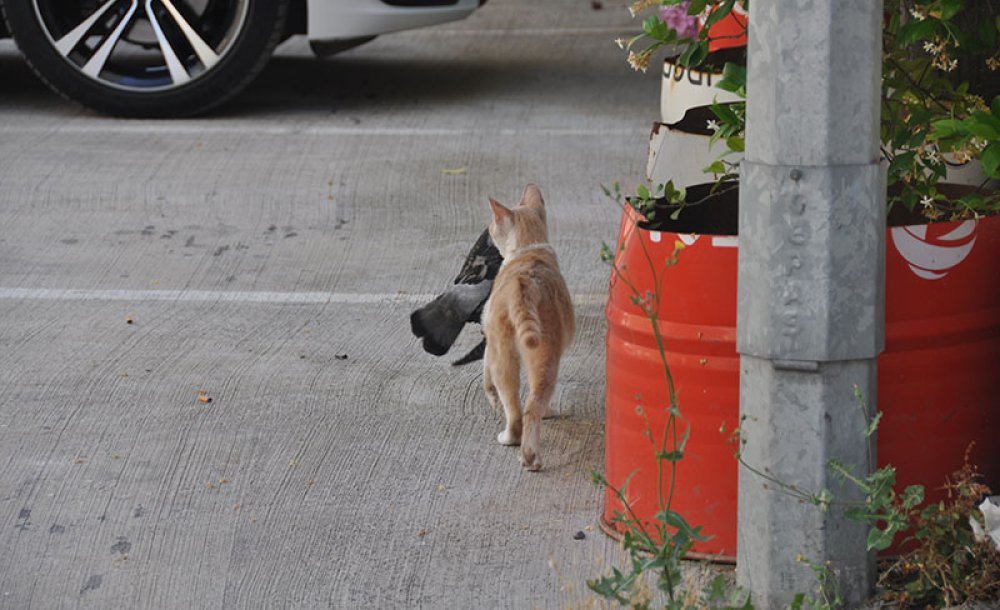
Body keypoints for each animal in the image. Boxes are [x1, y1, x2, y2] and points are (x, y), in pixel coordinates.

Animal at [480, 183, 576, 468]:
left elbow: (485, 374)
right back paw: (531, 451)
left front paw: (490, 396)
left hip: (509, 356)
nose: (488, 233)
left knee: (518, 408)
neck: (528, 248)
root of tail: (523, 285)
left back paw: (515, 442)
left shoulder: (488, 338)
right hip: (542, 357)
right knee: (532, 403)